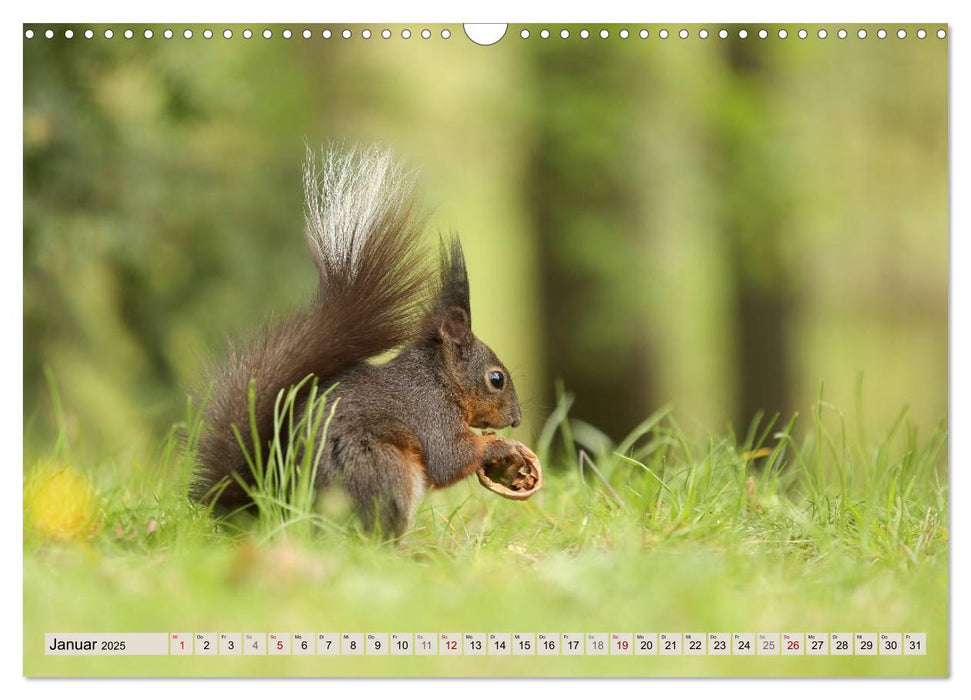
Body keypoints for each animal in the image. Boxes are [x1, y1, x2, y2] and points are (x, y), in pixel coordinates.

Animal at [191, 144, 536, 536]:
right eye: (496, 379)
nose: (517, 419)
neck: (439, 380)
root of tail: (279, 512)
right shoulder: (431, 414)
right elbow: (450, 458)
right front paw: (502, 447)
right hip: (381, 469)